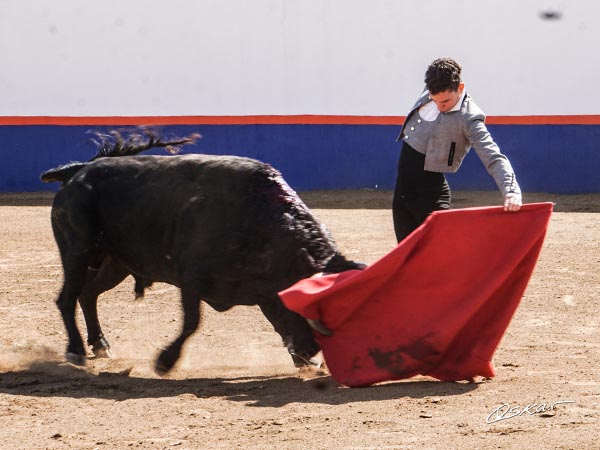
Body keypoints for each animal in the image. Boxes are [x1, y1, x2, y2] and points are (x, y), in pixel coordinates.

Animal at [41, 129, 364, 374]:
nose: (312, 350)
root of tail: (78, 171)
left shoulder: (264, 292)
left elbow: (277, 324)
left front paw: (304, 363)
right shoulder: (191, 278)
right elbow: (192, 322)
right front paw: (165, 361)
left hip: (114, 263)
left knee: (88, 294)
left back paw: (100, 345)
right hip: (77, 251)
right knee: (67, 298)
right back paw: (76, 351)